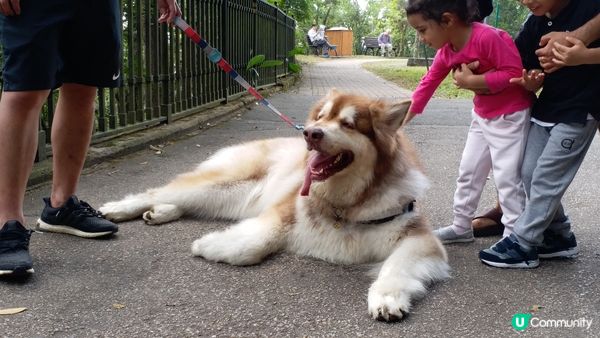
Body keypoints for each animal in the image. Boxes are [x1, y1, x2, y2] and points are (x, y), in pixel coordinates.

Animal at [99, 90, 446, 322]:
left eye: (348, 124)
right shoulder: (285, 211)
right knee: (158, 190)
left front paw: (387, 297)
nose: (310, 133)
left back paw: (161, 212)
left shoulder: (419, 239)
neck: (346, 203)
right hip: (221, 184)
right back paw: (118, 208)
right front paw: (211, 245)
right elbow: (253, 245)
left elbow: (395, 266)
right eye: (321, 117)